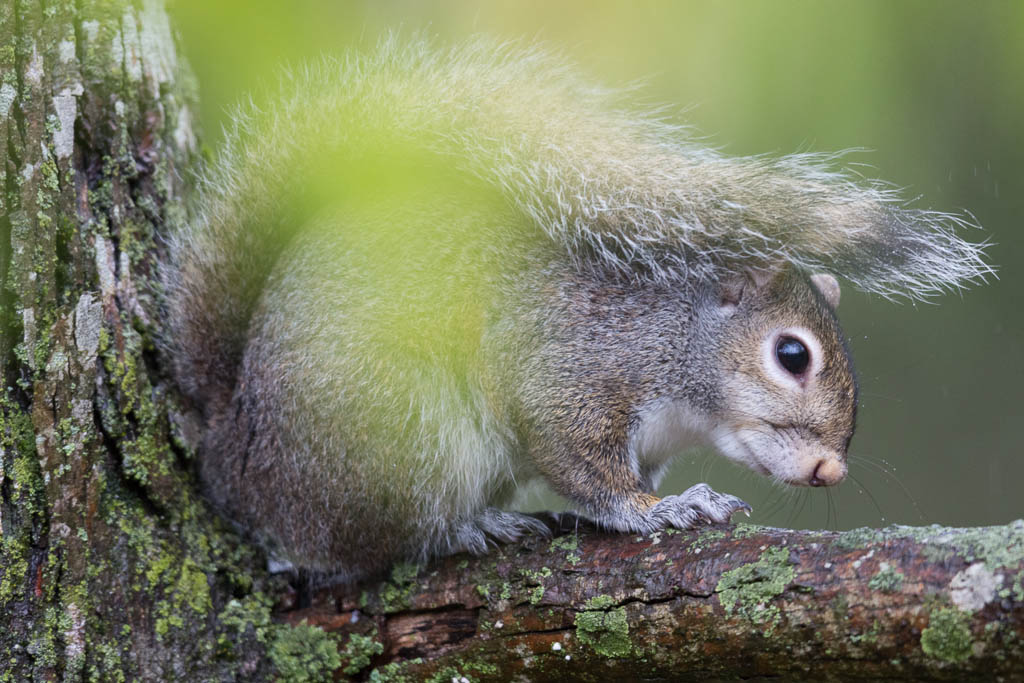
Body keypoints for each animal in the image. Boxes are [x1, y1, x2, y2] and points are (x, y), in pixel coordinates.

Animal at [165, 36, 990, 581]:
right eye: (792, 355)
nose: (830, 470)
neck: (674, 344)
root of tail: (233, 446)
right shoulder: (575, 370)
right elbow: (580, 461)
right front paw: (661, 509)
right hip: (398, 436)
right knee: (367, 545)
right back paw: (471, 527)